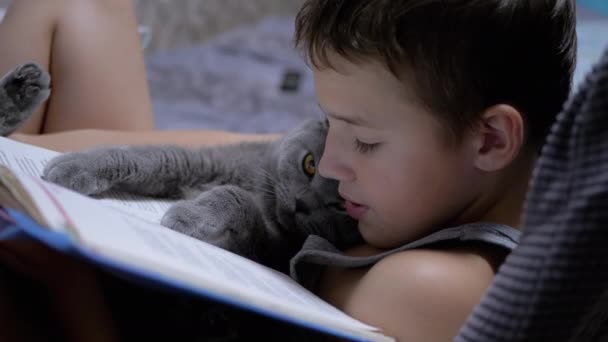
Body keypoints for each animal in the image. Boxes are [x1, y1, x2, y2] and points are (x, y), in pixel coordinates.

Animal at [0, 62, 360, 276]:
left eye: (344, 205)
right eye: (310, 165)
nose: (301, 203)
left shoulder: (273, 250)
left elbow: (236, 198)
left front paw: (188, 216)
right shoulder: (200, 162)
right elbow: (152, 158)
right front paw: (73, 167)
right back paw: (23, 86)